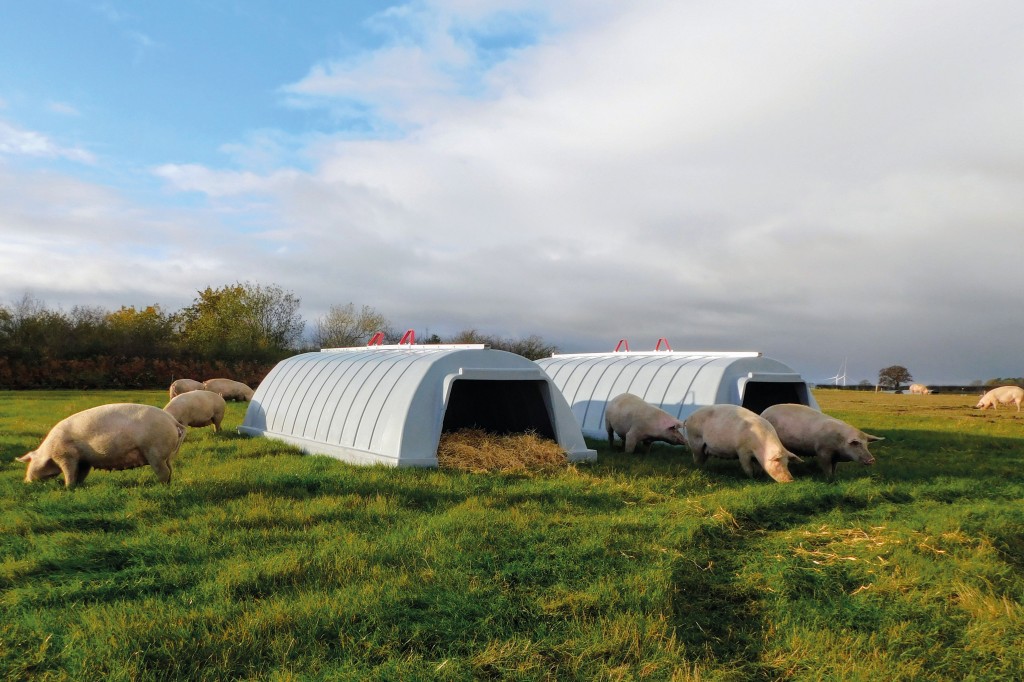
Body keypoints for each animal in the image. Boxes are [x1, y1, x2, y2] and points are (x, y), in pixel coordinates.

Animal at [16, 401, 188, 485]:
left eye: (30, 462)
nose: (25, 482)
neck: (48, 452)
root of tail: (172, 421)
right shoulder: (84, 460)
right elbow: (80, 474)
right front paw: (78, 486)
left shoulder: (66, 456)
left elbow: (69, 472)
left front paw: (67, 487)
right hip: (166, 455)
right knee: (170, 470)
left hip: (155, 451)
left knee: (163, 472)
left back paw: (160, 486)